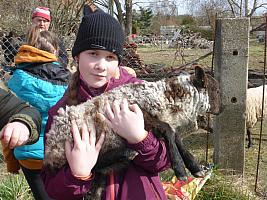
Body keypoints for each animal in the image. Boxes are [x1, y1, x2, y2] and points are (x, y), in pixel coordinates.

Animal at [43, 66, 220, 181]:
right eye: (216, 90)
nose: (221, 109)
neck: (167, 97)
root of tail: (48, 148)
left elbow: (176, 138)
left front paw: (195, 168)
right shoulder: (143, 115)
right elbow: (169, 131)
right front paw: (181, 170)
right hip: (70, 145)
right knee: (85, 163)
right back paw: (127, 153)